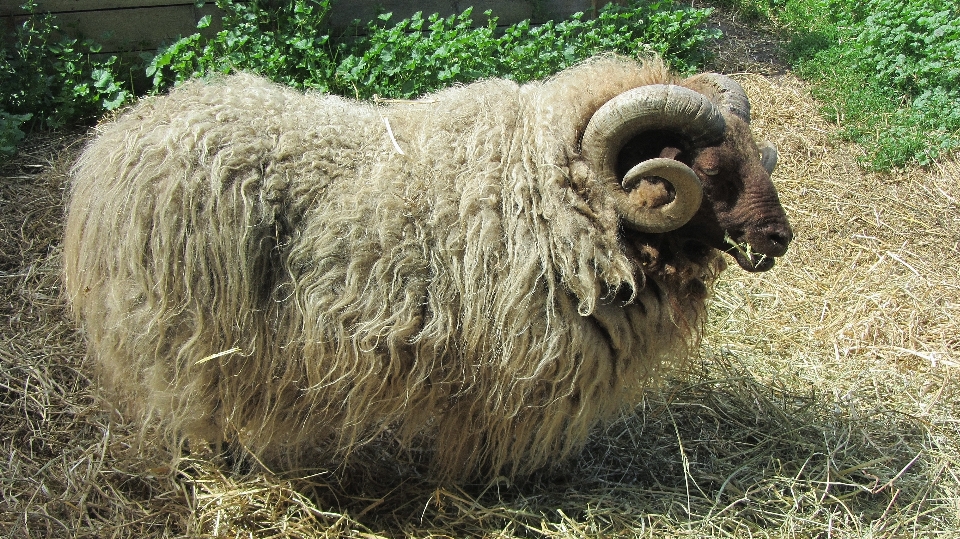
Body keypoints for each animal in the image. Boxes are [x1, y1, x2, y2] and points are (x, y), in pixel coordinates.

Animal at [62, 54, 796, 484]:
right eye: (709, 167)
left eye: (754, 150)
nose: (779, 237)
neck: (559, 192)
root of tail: (108, 150)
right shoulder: (520, 366)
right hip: (184, 332)